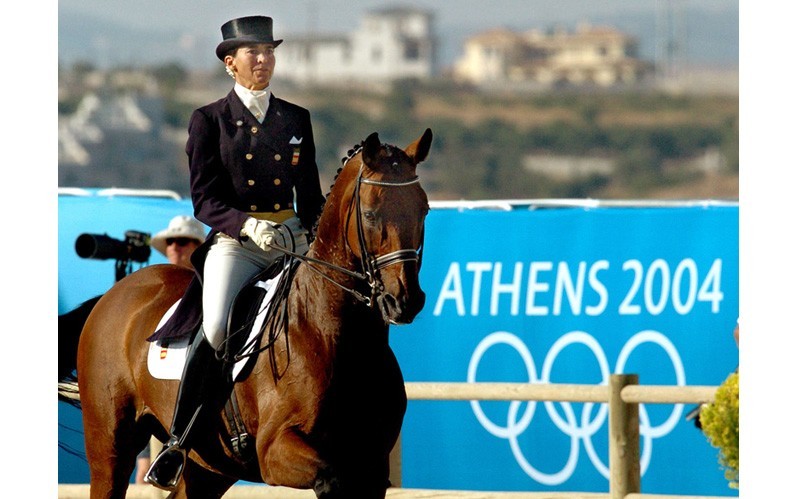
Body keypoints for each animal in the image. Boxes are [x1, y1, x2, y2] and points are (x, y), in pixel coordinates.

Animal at [61, 128, 433, 498]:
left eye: (424, 210)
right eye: (370, 214)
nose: (404, 300)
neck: (334, 334)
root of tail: (114, 293)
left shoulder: (372, 469)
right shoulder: (275, 450)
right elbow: (330, 478)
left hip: (208, 467)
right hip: (110, 448)